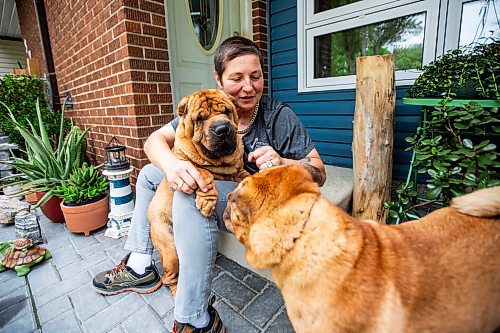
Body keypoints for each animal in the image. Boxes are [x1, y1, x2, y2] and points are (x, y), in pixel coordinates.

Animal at [148, 88, 250, 294]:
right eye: (200, 119)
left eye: (227, 111)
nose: (222, 129)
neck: (221, 162)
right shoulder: (185, 165)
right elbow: (202, 172)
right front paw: (206, 201)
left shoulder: (237, 169)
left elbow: (245, 174)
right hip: (170, 250)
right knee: (168, 277)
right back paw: (176, 290)